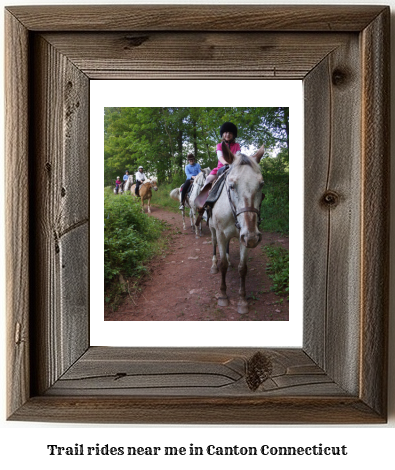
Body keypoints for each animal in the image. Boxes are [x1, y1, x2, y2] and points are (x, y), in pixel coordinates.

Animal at [210, 141, 266, 314]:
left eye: (261, 184)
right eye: (231, 185)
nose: (253, 238)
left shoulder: (245, 236)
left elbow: (243, 268)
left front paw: (242, 300)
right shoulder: (222, 234)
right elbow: (222, 265)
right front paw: (223, 296)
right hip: (213, 230)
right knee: (214, 244)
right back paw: (213, 265)